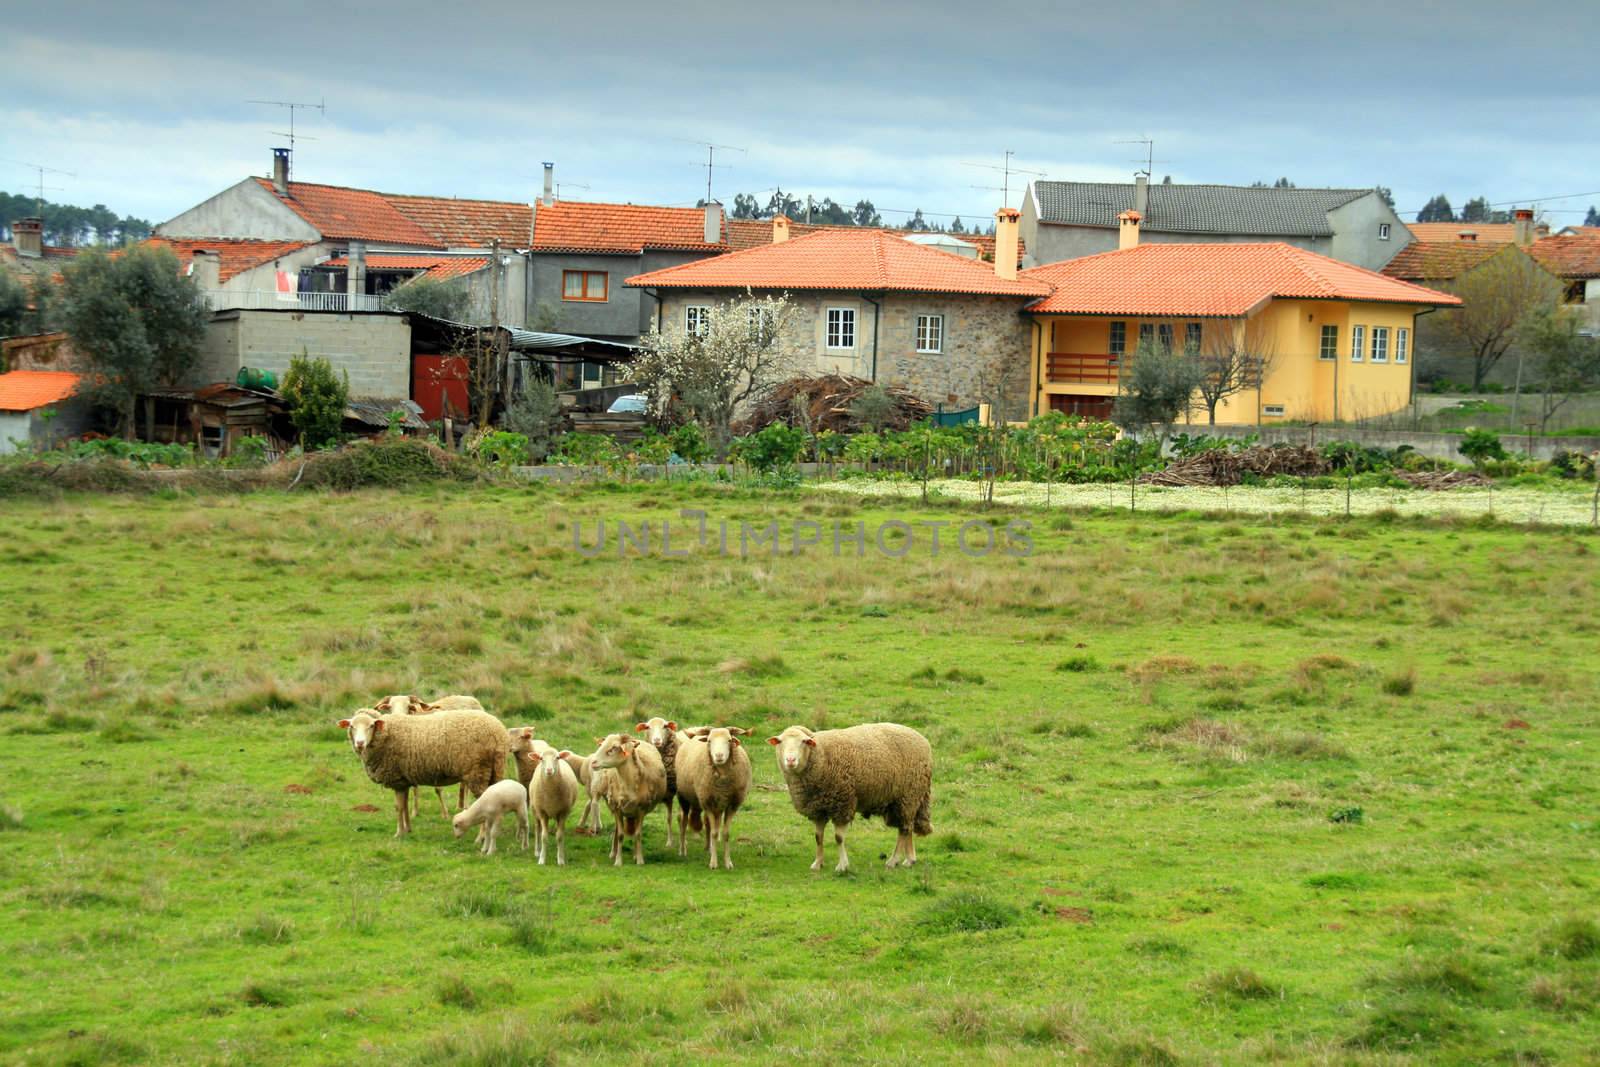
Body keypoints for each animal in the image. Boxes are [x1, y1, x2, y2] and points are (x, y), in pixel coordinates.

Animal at [339, 710, 508, 844]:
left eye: (371, 726)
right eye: (352, 726)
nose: (360, 743)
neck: (386, 734)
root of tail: (498, 733)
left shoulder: (396, 779)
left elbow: (398, 807)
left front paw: (398, 833)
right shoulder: (403, 780)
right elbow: (405, 805)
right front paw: (407, 829)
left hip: (477, 772)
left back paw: (480, 838)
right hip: (494, 771)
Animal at [588, 735, 668, 870]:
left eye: (614, 747)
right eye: (602, 744)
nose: (593, 762)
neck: (628, 783)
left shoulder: (641, 809)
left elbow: (638, 834)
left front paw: (640, 860)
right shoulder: (617, 809)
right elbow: (620, 834)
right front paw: (618, 861)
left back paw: (635, 855)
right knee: (616, 829)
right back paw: (613, 853)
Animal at [672, 726, 752, 870]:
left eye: (729, 740)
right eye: (709, 741)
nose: (719, 756)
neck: (723, 784)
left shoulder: (732, 805)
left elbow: (725, 833)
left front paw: (728, 862)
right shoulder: (707, 803)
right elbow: (714, 833)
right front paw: (713, 863)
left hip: (718, 806)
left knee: (709, 825)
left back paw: (708, 848)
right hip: (684, 797)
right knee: (684, 822)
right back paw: (682, 850)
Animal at [768, 723, 934, 870]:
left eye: (804, 742)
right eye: (780, 742)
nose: (790, 760)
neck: (821, 755)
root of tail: (923, 740)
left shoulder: (842, 802)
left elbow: (838, 838)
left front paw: (842, 866)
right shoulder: (818, 808)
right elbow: (818, 837)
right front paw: (817, 863)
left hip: (909, 795)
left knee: (904, 829)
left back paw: (893, 861)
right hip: (904, 800)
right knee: (908, 826)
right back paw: (909, 860)